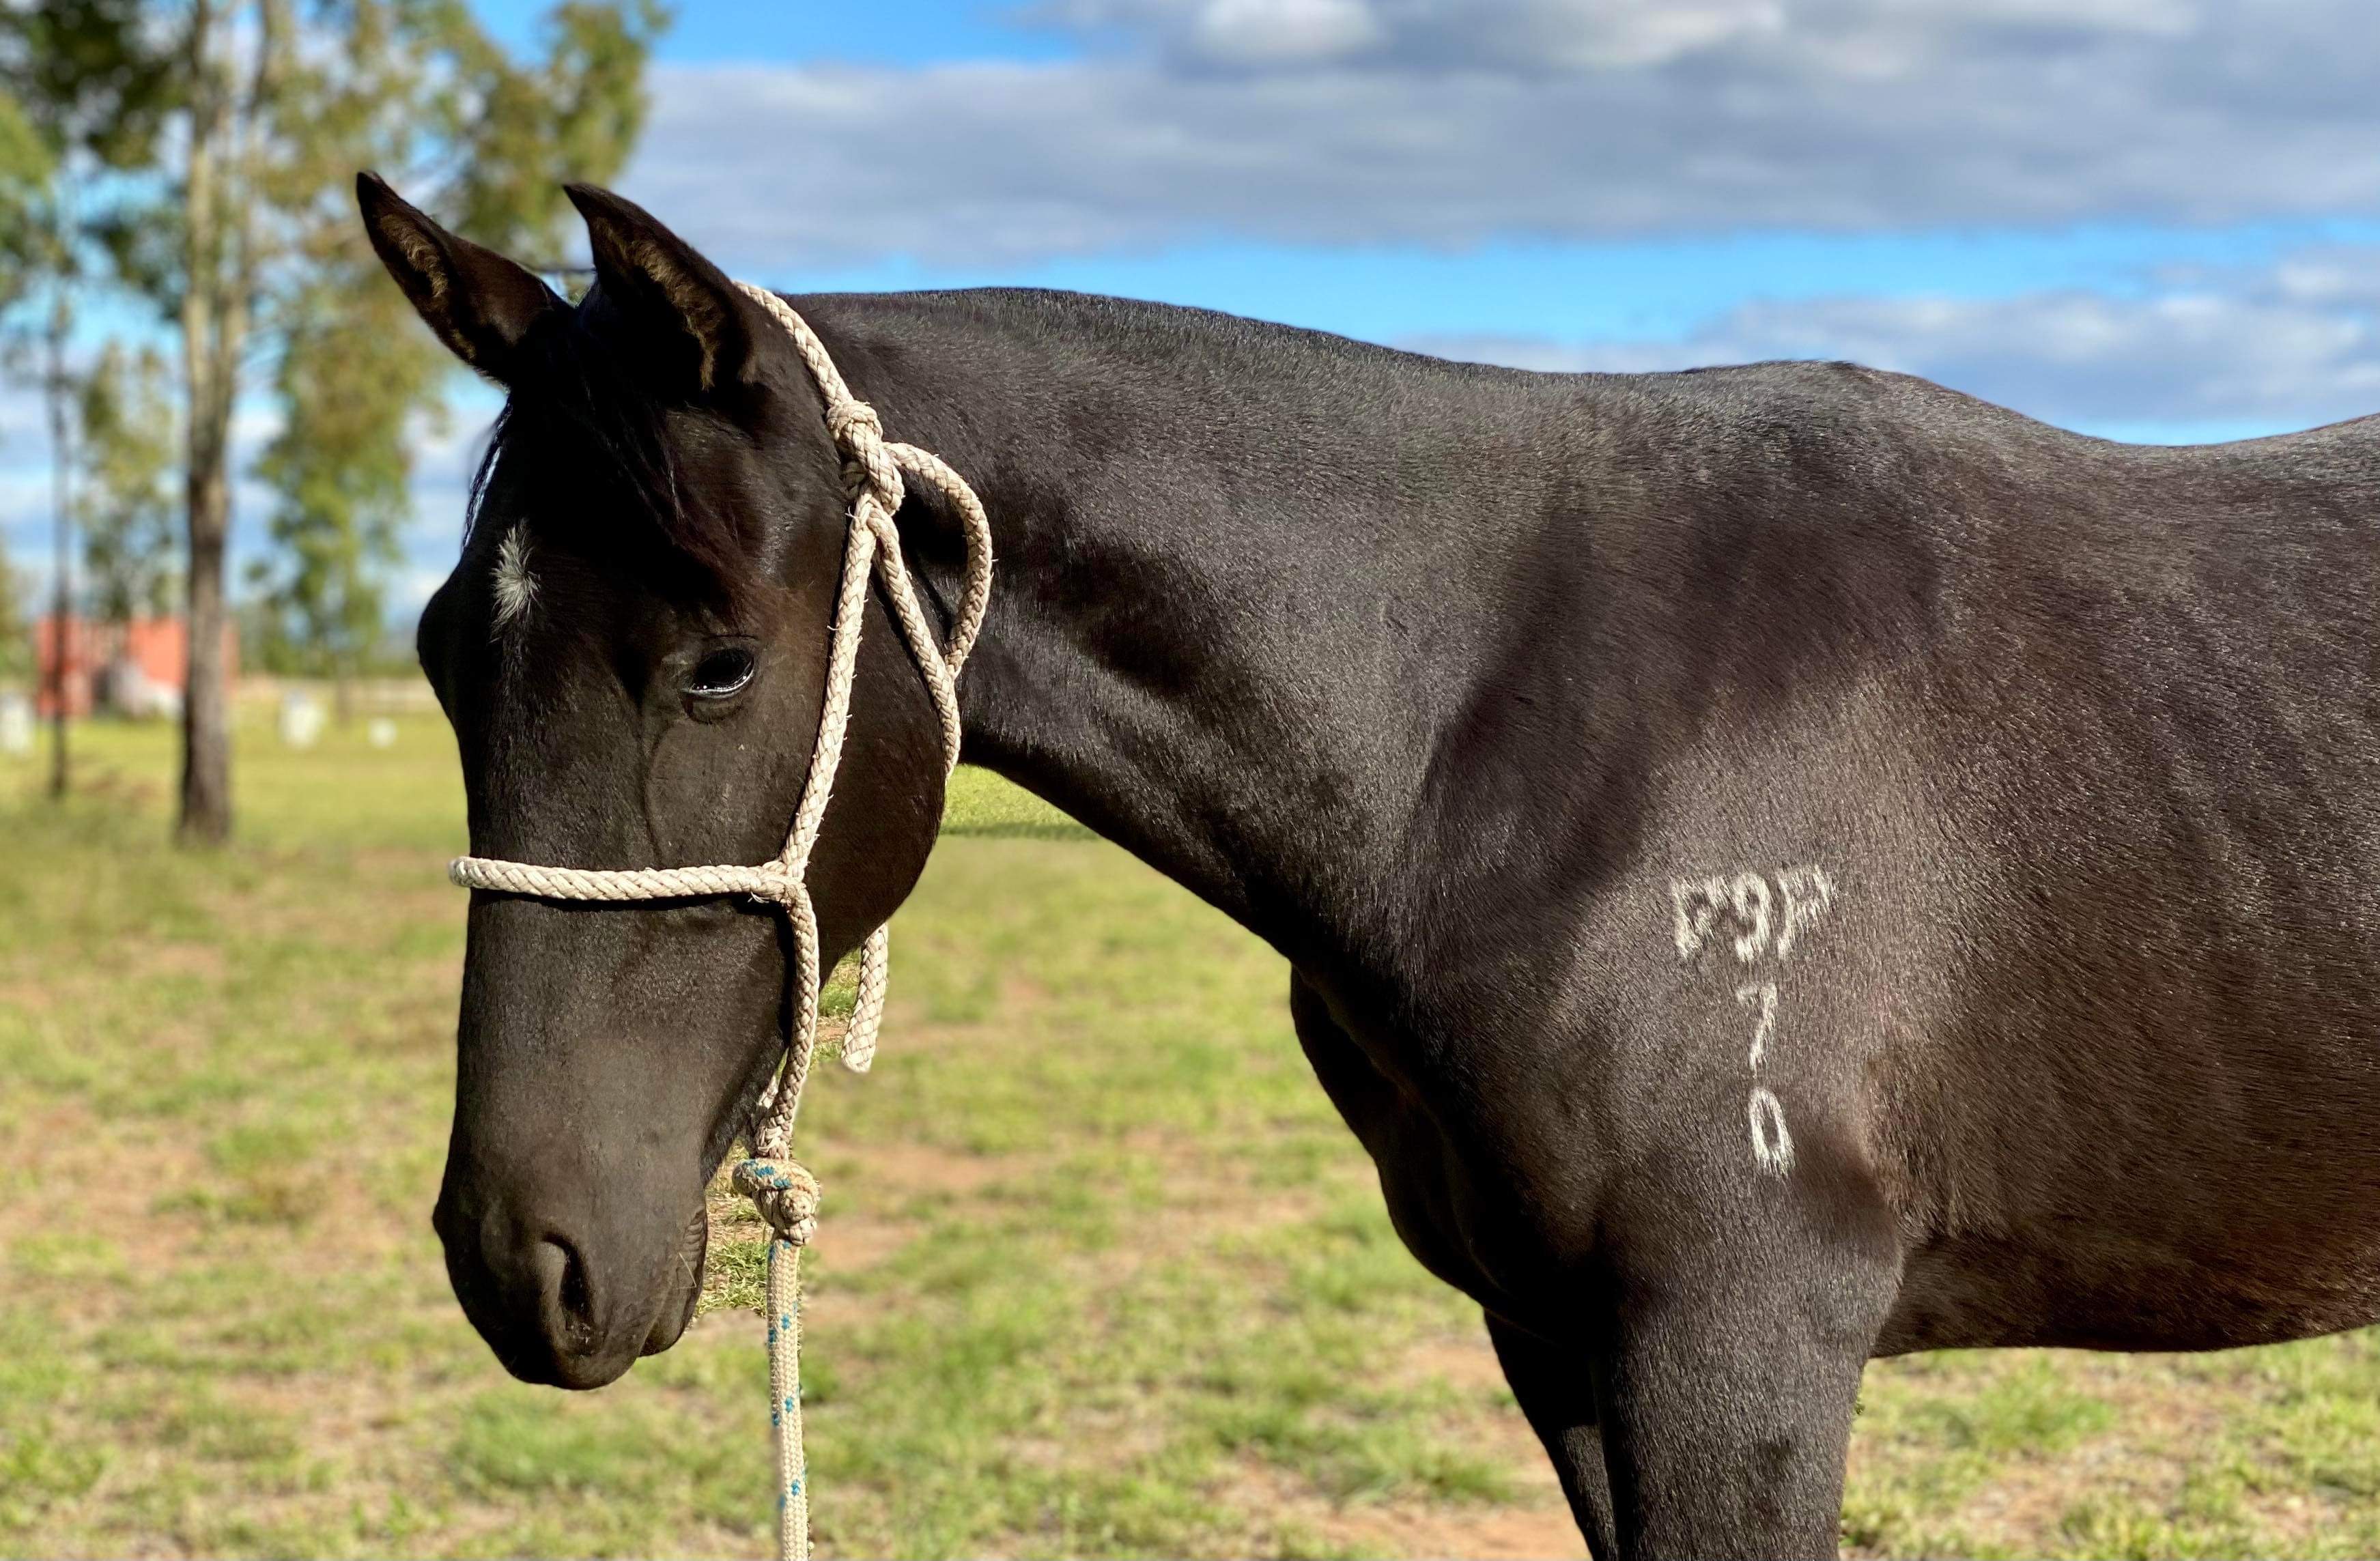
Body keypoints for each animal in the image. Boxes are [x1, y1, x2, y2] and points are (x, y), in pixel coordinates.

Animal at [357, 171, 2380, 1559]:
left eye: (715, 658)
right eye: (446, 646)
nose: (518, 1254)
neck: (1525, 727)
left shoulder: (1743, 1353)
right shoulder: (1557, 1340)